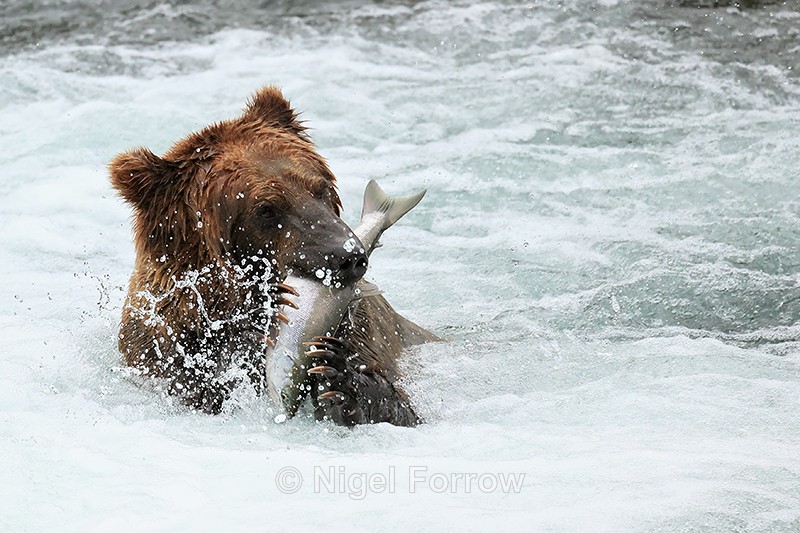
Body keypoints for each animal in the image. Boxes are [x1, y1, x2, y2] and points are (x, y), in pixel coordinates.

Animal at [109, 86, 438, 426]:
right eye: (266, 209)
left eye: (319, 188)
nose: (348, 255)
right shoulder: (158, 347)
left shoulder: (364, 328)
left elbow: (396, 402)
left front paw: (339, 378)